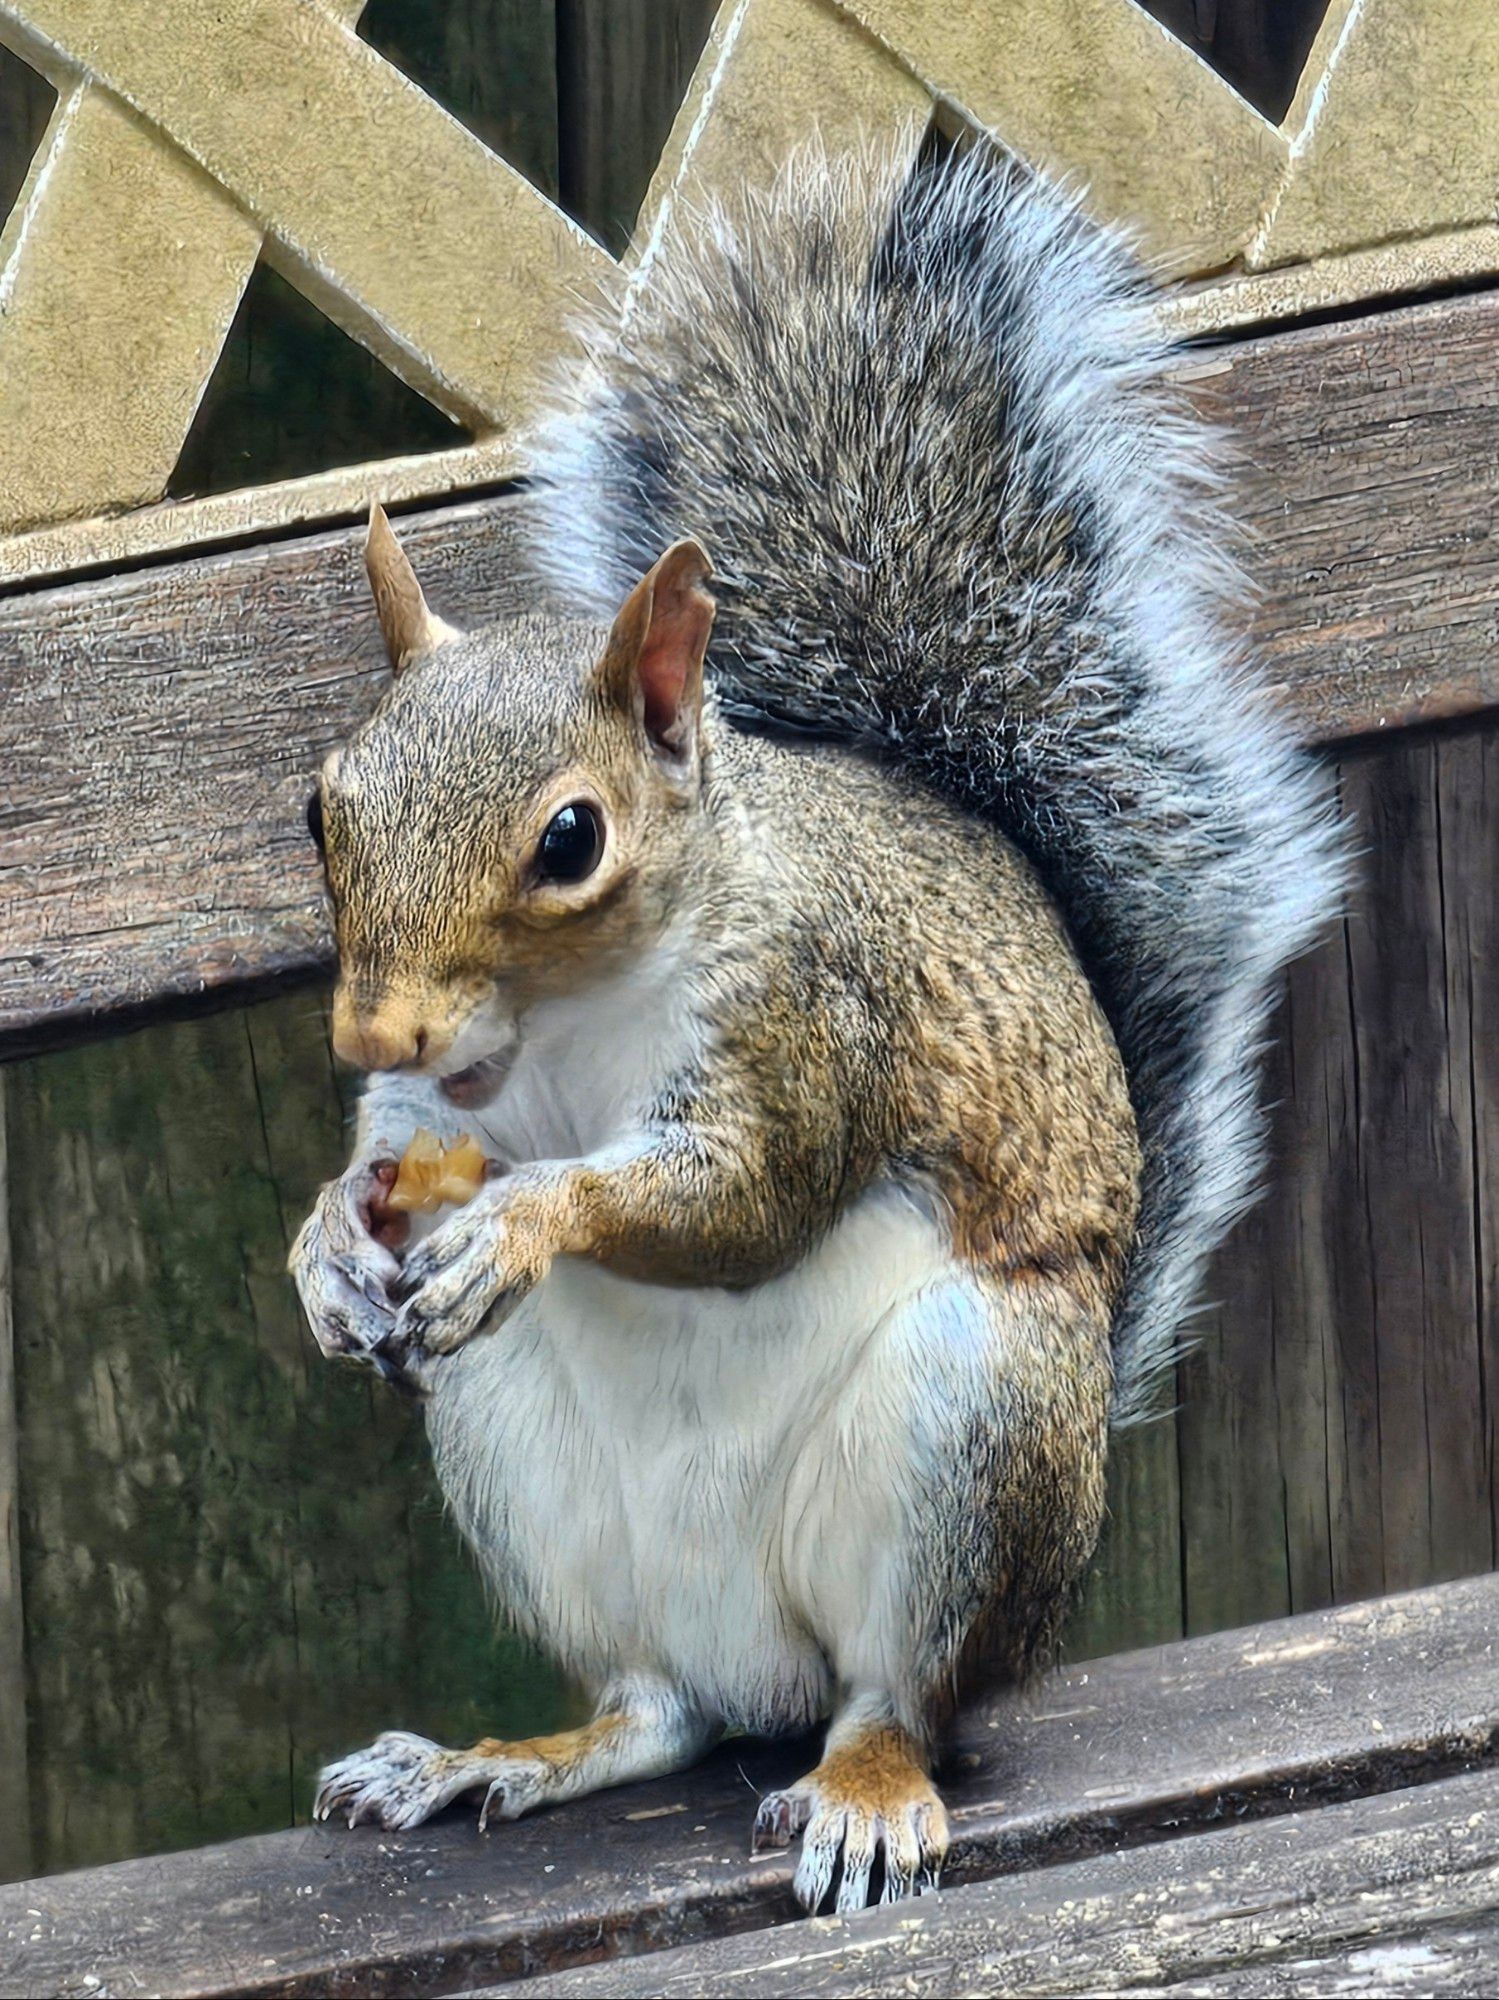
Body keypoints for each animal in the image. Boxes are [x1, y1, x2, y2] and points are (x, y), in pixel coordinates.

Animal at [293, 133, 1351, 1912]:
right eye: (323, 807)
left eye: (568, 839)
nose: (372, 1038)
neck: (561, 1039)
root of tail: (758, 1667)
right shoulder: (435, 1114)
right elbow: (388, 1165)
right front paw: (321, 1249)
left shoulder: (812, 1021)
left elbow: (744, 1201)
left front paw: (522, 1222)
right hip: (520, 1460)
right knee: (651, 1712)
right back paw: (498, 1757)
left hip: (971, 1430)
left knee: (896, 1696)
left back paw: (859, 1789)